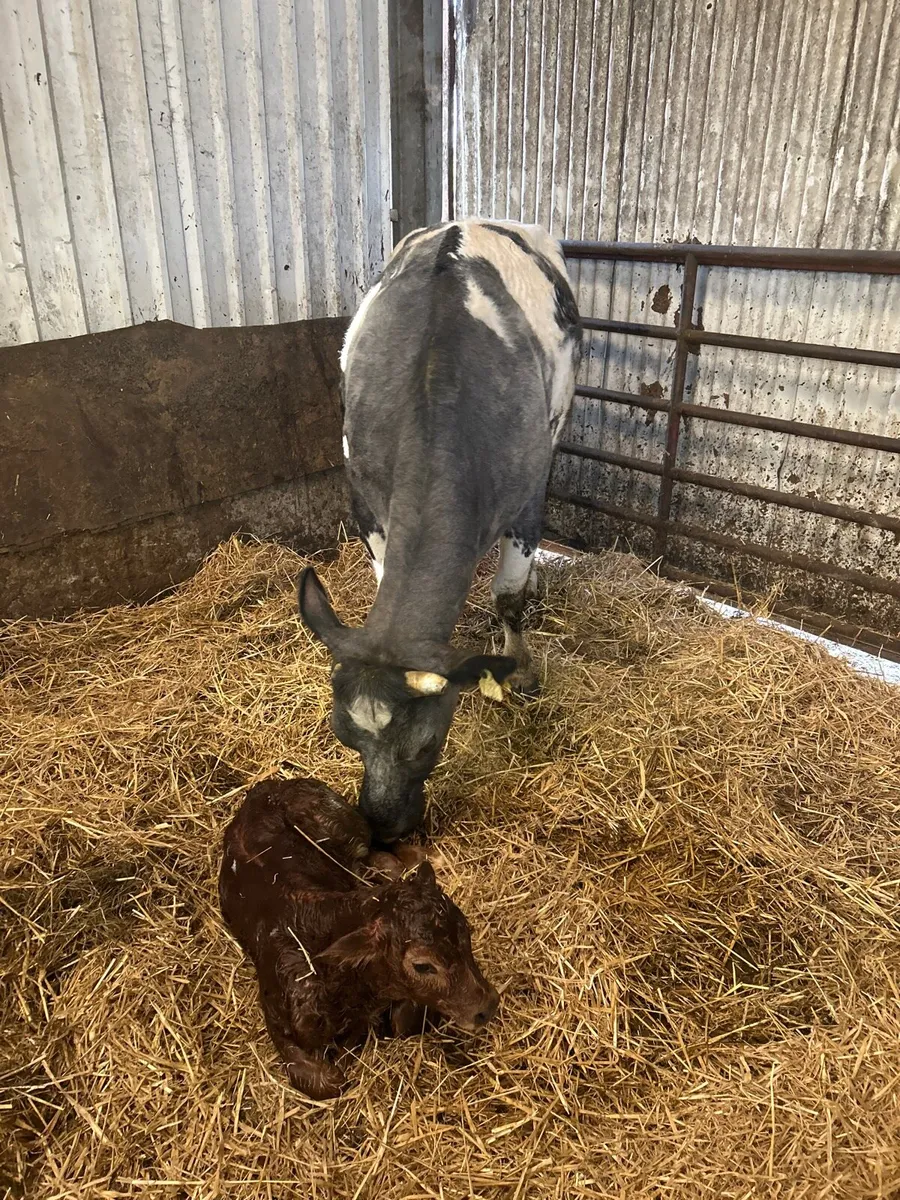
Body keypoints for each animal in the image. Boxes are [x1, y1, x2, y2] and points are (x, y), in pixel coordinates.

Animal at [219, 777, 498, 1099]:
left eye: (466, 931)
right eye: (423, 965)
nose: (488, 1006)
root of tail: (265, 785)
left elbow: (401, 1024)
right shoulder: (280, 1023)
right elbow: (329, 1081)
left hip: (345, 822)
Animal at [298, 219, 582, 843]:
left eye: (428, 744)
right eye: (343, 736)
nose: (383, 827)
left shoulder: (529, 496)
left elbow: (508, 596)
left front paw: (521, 668)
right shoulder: (366, 504)